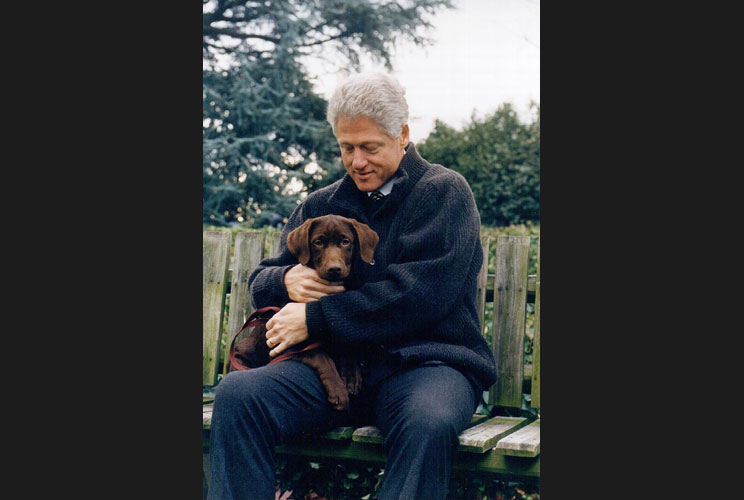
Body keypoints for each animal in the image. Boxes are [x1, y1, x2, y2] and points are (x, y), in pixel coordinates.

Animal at [231, 215, 380, 410]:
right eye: (318, 242)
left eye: (345, 241)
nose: (334, 269)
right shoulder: (286, 342)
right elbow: (321, 356)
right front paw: (338, 390)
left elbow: (346, 346)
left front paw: (351, 376)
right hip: (242, 356)